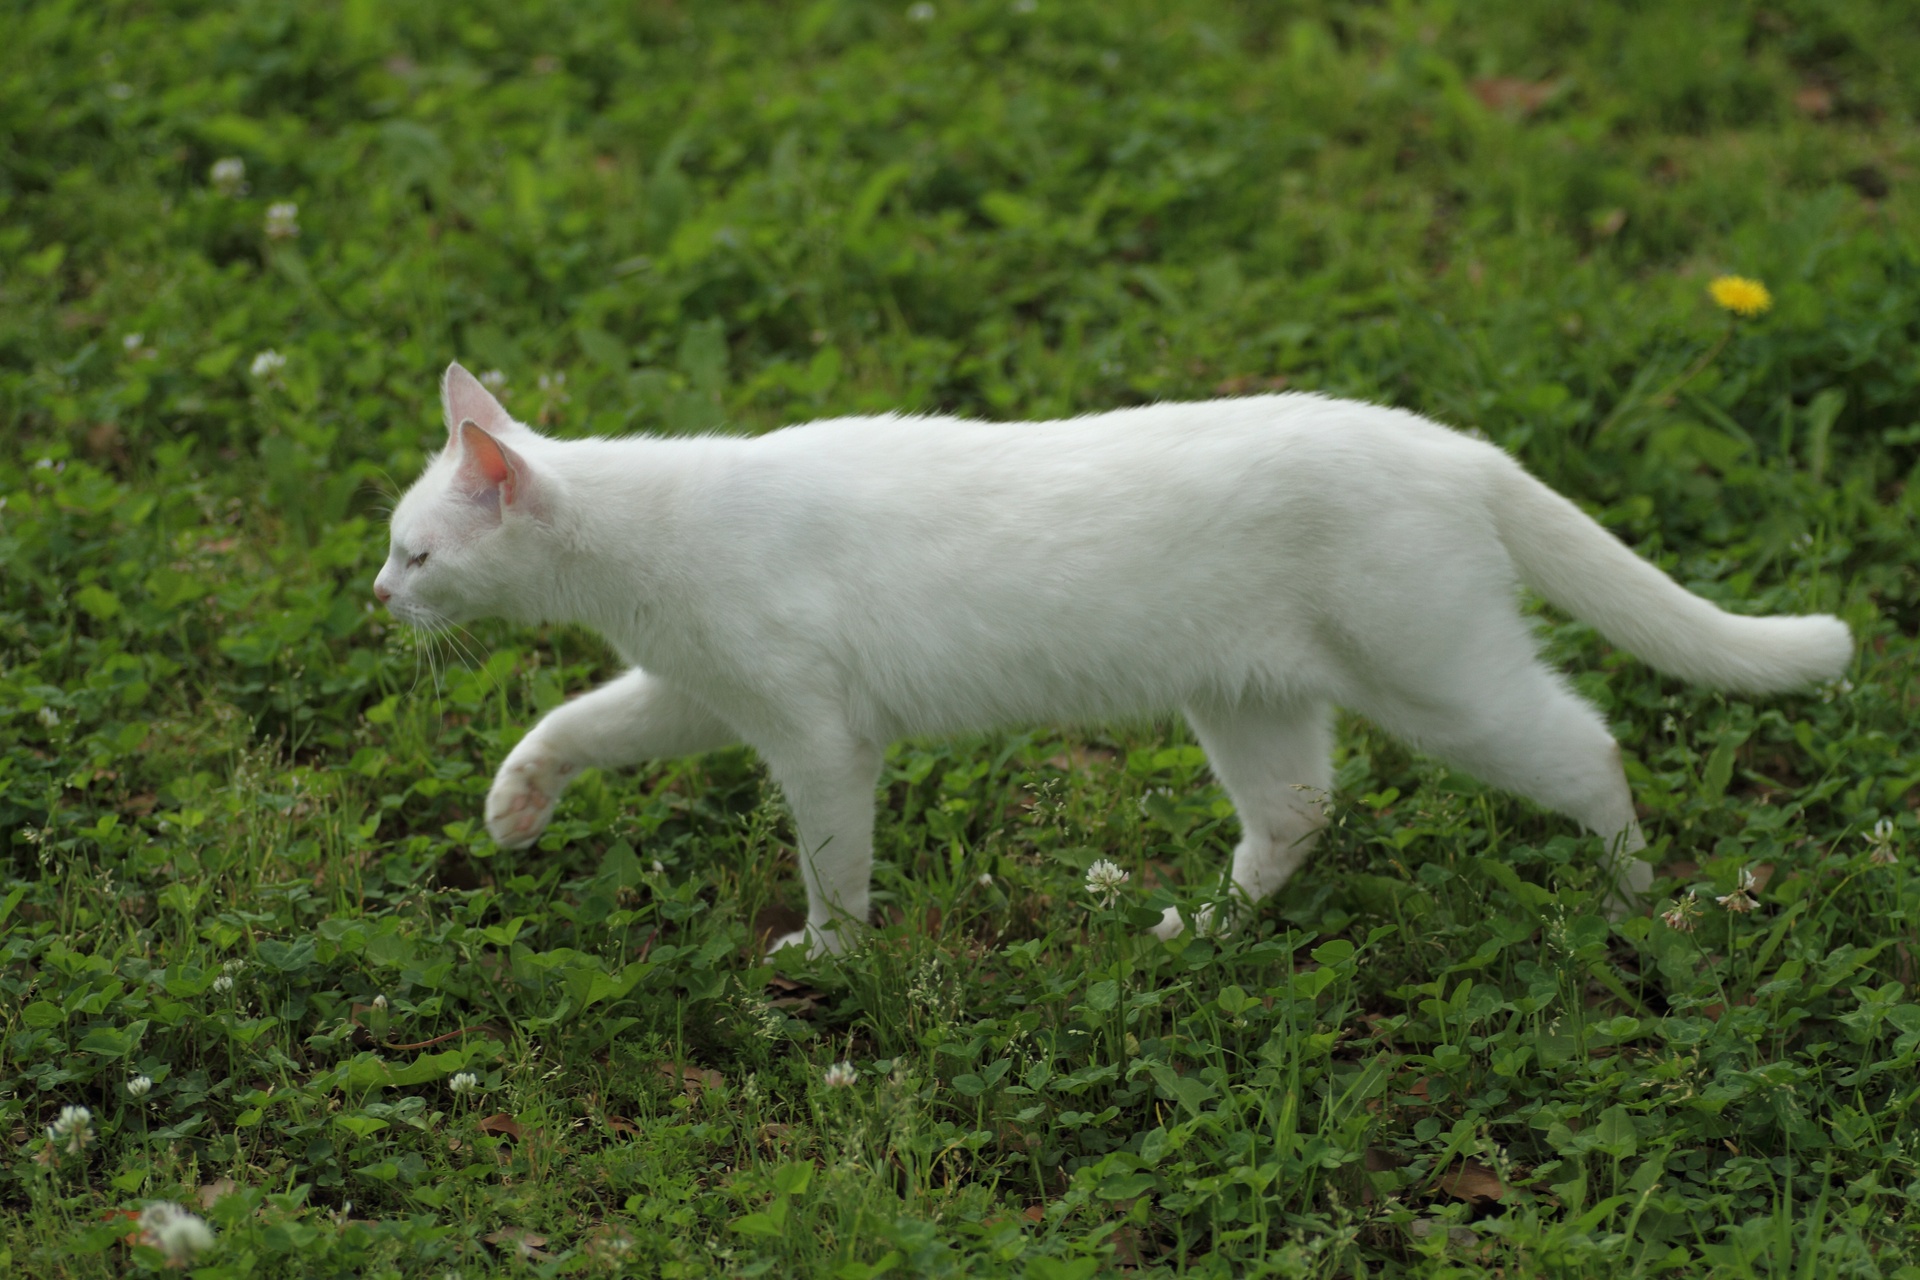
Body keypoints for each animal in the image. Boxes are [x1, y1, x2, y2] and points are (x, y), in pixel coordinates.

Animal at [366, 360, 1850, 951]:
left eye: (419, 553)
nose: (376, 594)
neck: (646, 541)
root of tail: (1452, 444)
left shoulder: (817, 737)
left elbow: (832, 865)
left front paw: (829, 961)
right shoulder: (699, 695)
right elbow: (574, 721)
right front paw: (511, 808)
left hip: (1441, 683)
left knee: (1590, 746)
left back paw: (1638, 899)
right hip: (1252, 701)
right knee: (1300, 813)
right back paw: (1197, 932)